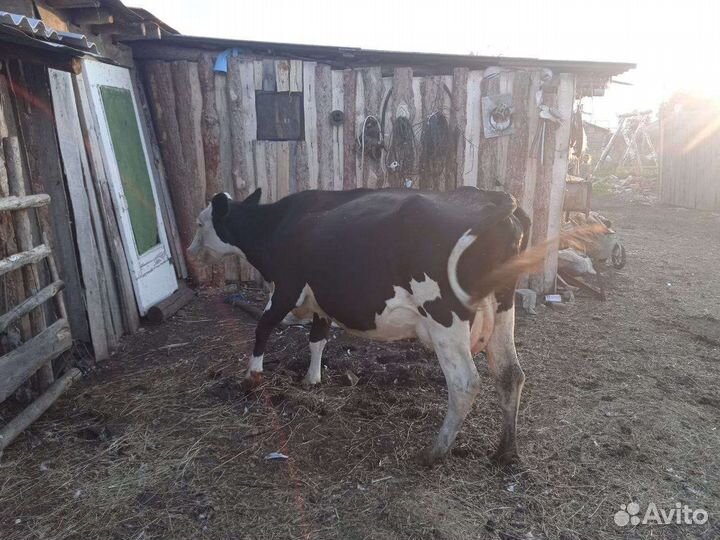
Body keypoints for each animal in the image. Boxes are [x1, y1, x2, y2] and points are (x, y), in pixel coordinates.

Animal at [187, 186, 544, 466]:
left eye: (200, 223)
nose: (189, 252)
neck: (277, 225)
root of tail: (494, 200)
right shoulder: (322, 300)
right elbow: (317, 339)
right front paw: (312, 379)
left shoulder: (286, 288)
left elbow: (262, 328)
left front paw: (252, 377)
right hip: (503, 307)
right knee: (510, 373)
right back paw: (505, 452)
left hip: (445, 317)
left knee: (465, 383)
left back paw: (434, 452)